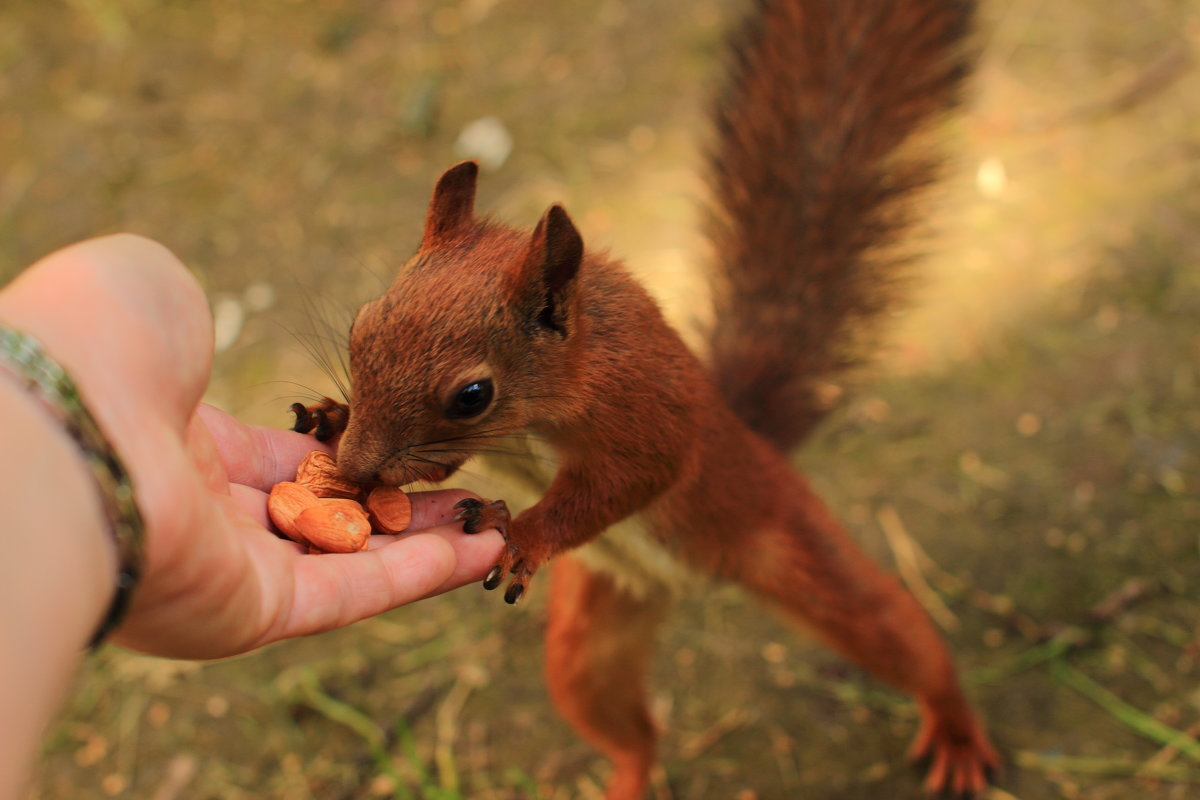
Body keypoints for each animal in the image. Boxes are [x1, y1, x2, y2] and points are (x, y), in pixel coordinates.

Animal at [292, 0, 1003, 796]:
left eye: (473, 395)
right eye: (361, 325)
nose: (355, 468)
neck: (552, 394)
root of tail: (684, 585)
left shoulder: (641, 410)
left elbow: (635, 476)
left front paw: (524, 530)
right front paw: (330, 415)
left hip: (786, 540)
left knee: (896, 633)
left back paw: (955, 726)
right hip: (592, 639)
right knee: (634, 733)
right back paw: (629, 776)